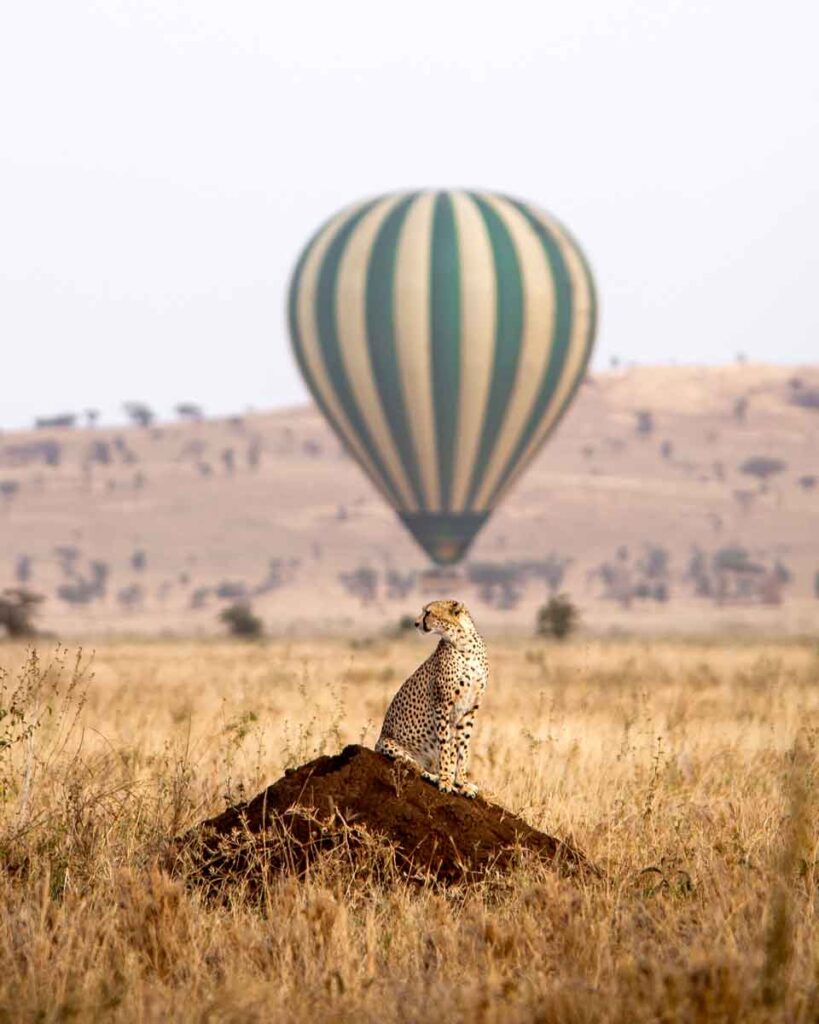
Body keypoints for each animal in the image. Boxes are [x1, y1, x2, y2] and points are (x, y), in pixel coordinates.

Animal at [375, 599, 488, 798]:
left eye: (428, 612)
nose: (415, 623)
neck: (464, 644)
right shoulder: (443, 705)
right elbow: (446, 747)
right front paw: (446, 781)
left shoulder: (470, 709)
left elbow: (463, 748)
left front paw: (463, 783)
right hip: (389, 744)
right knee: (414, 766)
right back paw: (434, 776)